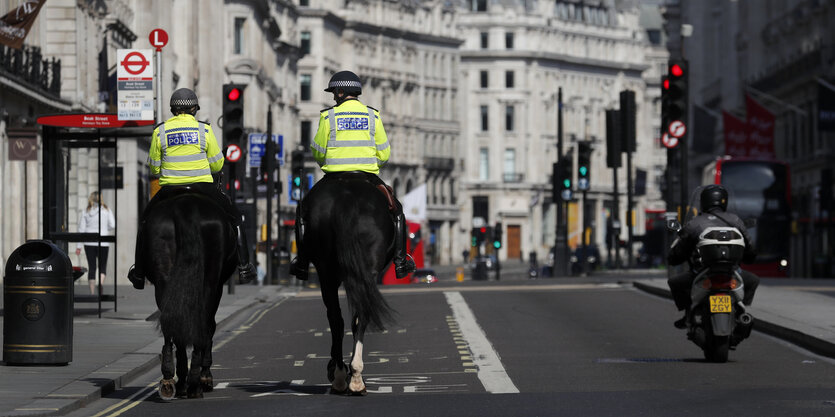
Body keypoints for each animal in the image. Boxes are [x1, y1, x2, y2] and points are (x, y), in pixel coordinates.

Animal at [140, 188, 238, 396]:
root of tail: (186, 205)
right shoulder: (217, 287)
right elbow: (210, 326)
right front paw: (204, 376)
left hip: (164, 278)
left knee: (171, 322)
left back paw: (172, 378)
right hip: (211, 281)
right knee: (204, 322)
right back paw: (194, 380)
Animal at [300, 172, 398, 394]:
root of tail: (346, 197)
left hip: (326, 272)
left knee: (336, 319)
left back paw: (340, 374)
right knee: (360, 315)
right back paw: (354, 378)